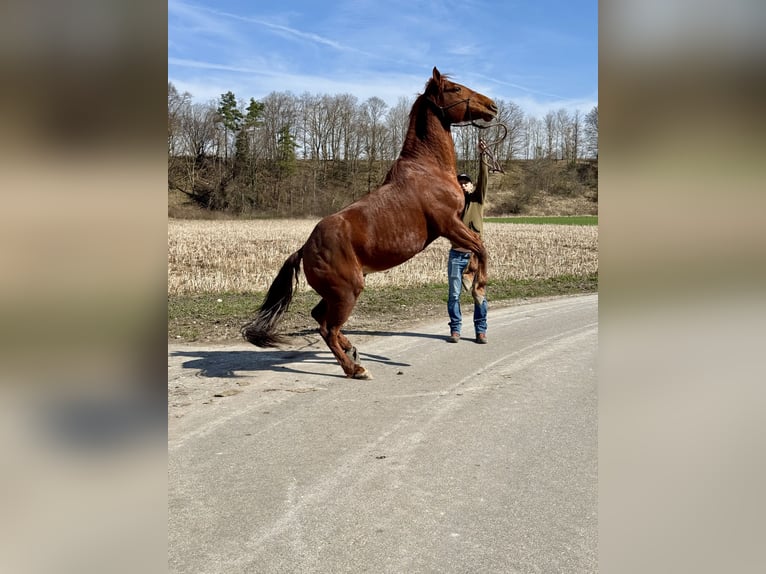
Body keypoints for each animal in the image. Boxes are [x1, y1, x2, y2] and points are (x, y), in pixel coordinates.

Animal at [241, 67, 498, 379]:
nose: (492, 106)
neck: (429, 170)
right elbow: (481, 247)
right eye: (455, 89)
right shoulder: (449, 225)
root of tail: (304, 249)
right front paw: (478, 288)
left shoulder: (453, 228)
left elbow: (477, 249)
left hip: (337, 293)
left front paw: (472, 276)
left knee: (320, 318)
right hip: (347, 291)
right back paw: (355, 368)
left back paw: (352, 350)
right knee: (327, 328)